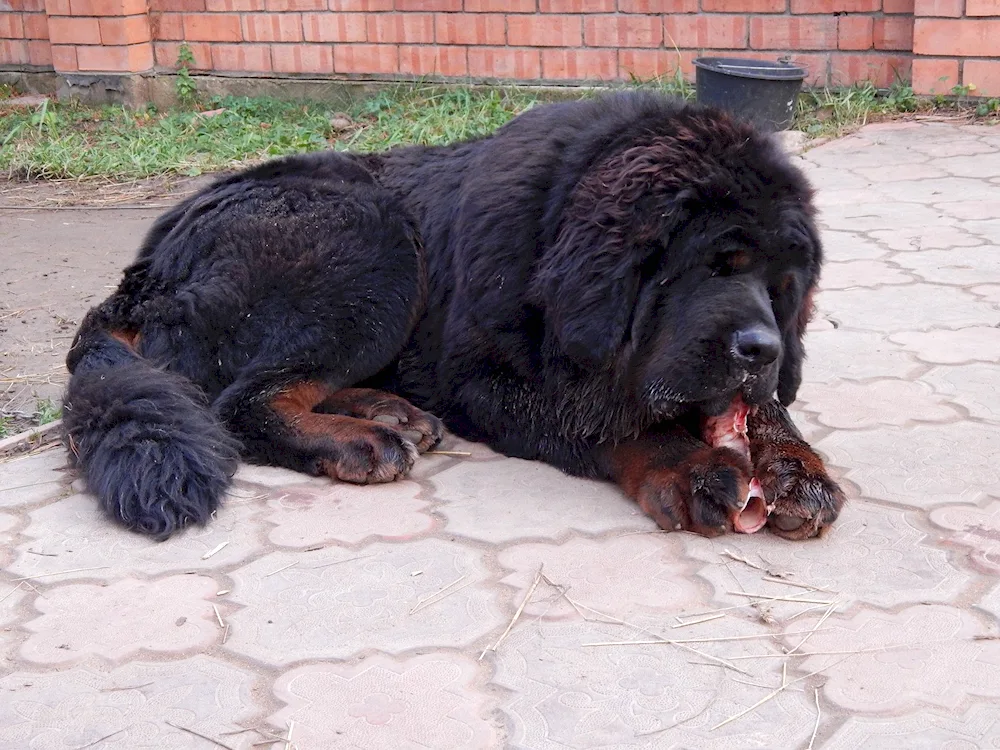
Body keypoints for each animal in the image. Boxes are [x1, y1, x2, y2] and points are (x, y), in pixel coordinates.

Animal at [62, 92, 844, 540]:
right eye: (714, 265)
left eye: (784, 287)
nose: (762, 350)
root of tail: (149, 266)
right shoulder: (485, 381)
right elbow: (607, 419)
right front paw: (688, 463)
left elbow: (766, 411)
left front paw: (795, 464)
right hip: (375, 246)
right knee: (240, 399)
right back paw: (359, 438)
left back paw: (388, 410)